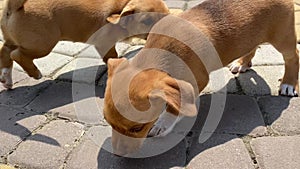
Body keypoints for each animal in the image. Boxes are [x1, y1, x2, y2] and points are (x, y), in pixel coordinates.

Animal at [0, 0, 169, 89]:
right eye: (147, 21)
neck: (122, 5)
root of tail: (15, 7)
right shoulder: (105, 43)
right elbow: (112, 56)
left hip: (14, 40)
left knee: (6, 51)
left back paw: (6, 78)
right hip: (43, 44)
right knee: (17, 55)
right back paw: (34, 73)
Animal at [103, 0, 300, 156]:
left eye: (138, 128)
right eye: (107, 121)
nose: (118, 154)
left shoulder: (197, 81)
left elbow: (175, 106)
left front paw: (163, 123)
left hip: (283, 37)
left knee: (293, 57)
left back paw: (288, 84)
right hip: (252, 36)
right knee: (252, 47)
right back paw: (242, 63)